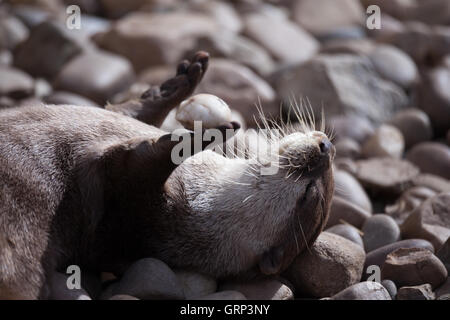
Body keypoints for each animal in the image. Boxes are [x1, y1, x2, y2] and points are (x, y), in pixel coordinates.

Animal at [0, 51, 334, 298]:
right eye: (318, 187)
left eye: (310, 194)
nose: (326, 147)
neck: (199, 199)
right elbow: (125, 111)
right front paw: (181, 83)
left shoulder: (127, 207)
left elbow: (126, 172)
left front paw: (202, 137)